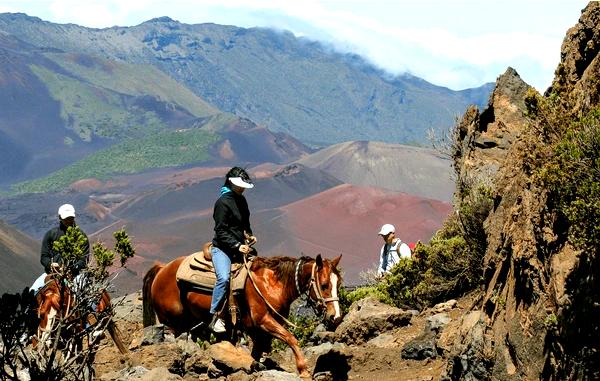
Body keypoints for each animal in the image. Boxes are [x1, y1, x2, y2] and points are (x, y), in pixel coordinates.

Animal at [143, 254, 342, 376]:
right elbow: (290, 338)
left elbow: (258, 350)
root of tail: (162, 268)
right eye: (324, 284)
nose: (336, 317)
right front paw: (303, 370)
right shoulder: (263, 321)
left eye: (338, 283)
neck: (273, 284)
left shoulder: (255, 328)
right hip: (173, 324)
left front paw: (253, 366)